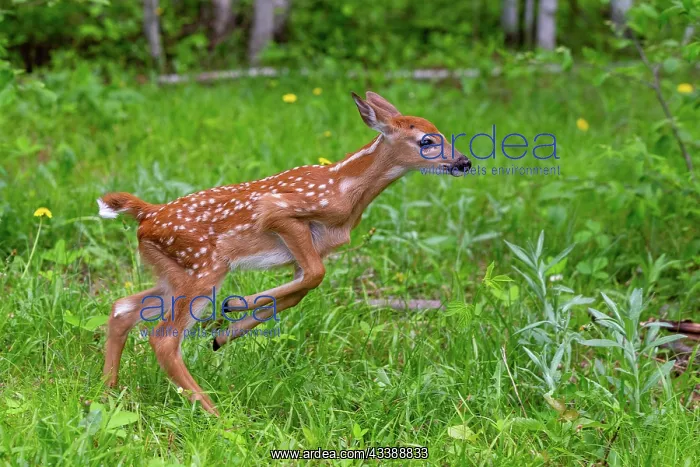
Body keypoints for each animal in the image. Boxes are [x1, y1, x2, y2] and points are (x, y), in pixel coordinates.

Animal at [98, 91, 471, 416]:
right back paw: (214, 413)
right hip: (204, 267)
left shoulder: (305, 251)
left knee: (123, 308)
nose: (464, 161)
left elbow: (301, 289)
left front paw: (225, 332)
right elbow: (315, 275)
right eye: (426, 140)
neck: (345, 192)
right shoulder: (281, 214)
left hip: (173, 272)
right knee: (163, 337)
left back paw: (108, 391)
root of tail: (147, 215)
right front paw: (235, 308)